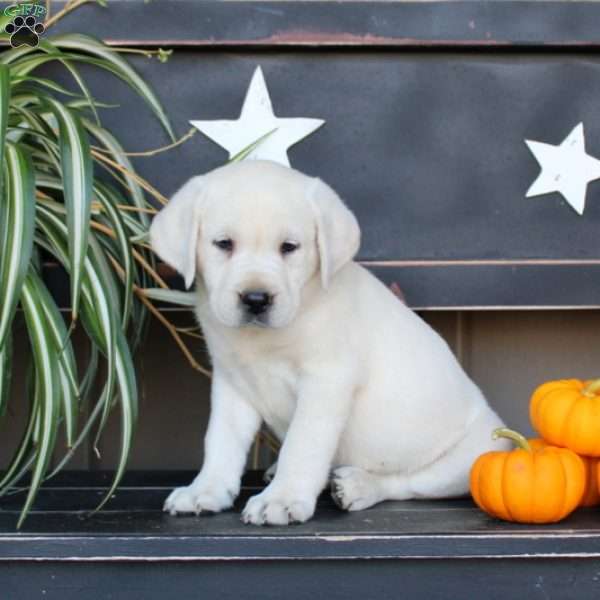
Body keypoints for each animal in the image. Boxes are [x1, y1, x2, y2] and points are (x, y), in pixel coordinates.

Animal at [149, 158, 506, 524]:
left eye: (289, 247)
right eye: (223, 244)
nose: (256, 299)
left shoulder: (326, 381)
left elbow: (302, 444)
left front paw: (282, 498)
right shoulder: (232, 382)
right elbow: (221, 441)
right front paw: (205, 490)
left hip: (470, 459)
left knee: (404, 483)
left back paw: (358, 486)